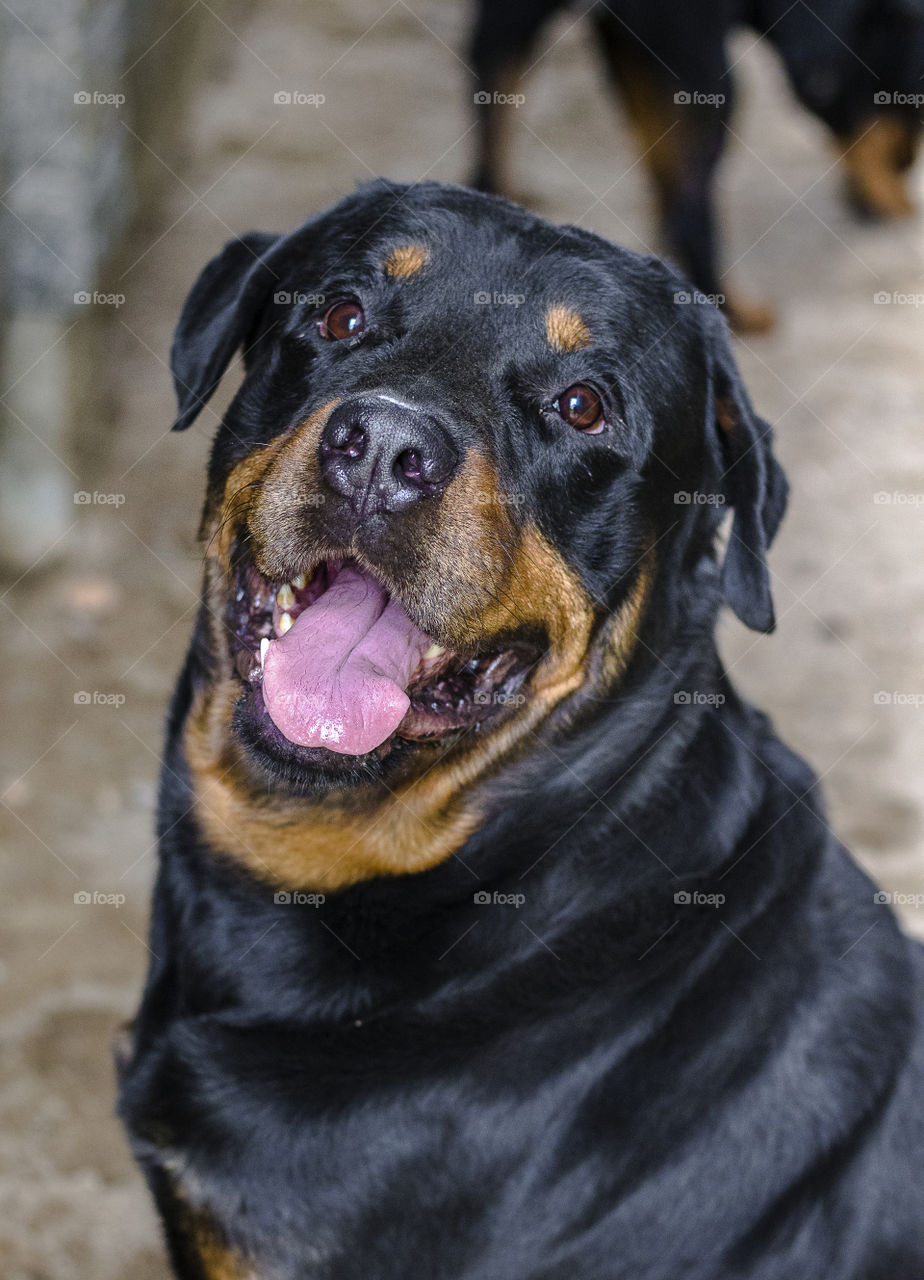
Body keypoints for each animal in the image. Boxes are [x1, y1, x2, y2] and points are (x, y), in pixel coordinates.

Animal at [468, 0, 921, 335]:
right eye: (912, 103)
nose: (907, 166)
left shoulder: (630, 48)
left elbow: (658, 161)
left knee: (490, 112)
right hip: (714, 78)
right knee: (692, 207)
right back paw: (732, 309)